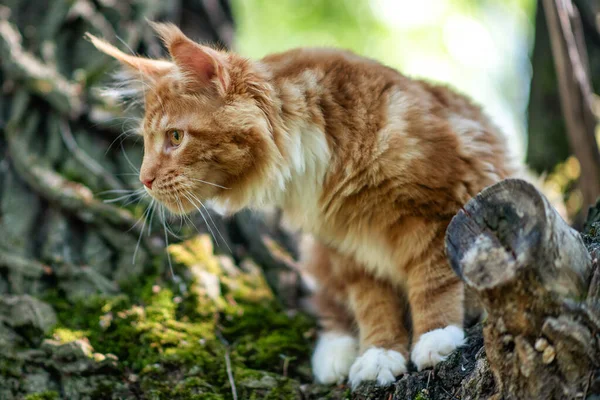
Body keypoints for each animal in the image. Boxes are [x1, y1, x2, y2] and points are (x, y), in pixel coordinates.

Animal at [86, 21, 516, 388]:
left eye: (175, 137)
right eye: (146, 143)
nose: (144, 180)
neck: (318, 159)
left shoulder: (439, 207)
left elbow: (432, 279)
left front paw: (435, 336)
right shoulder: (347, 249)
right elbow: (373, 306)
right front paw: (379, 352)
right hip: (318, 256)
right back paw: (336, 353)